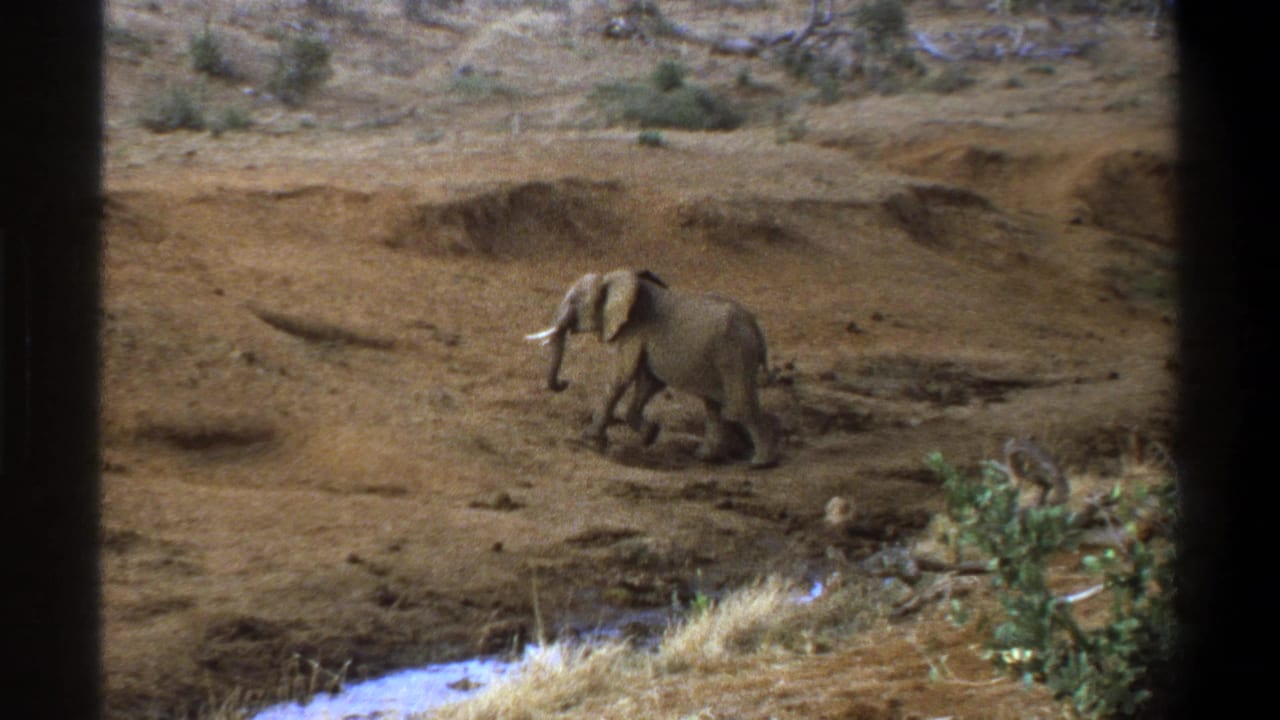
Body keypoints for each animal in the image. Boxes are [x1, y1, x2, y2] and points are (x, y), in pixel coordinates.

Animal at [526, 268, 779, 468]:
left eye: (574, 302)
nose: (565, 382)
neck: (615, 278)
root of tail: (757, 329)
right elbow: (650, 382)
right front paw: (650, 435)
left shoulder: (634, 329)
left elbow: (622, 376)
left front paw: (590, 438)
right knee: (714, 408)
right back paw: (705, 457)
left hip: (735, 357)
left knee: (741, 406)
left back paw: (760, 463)